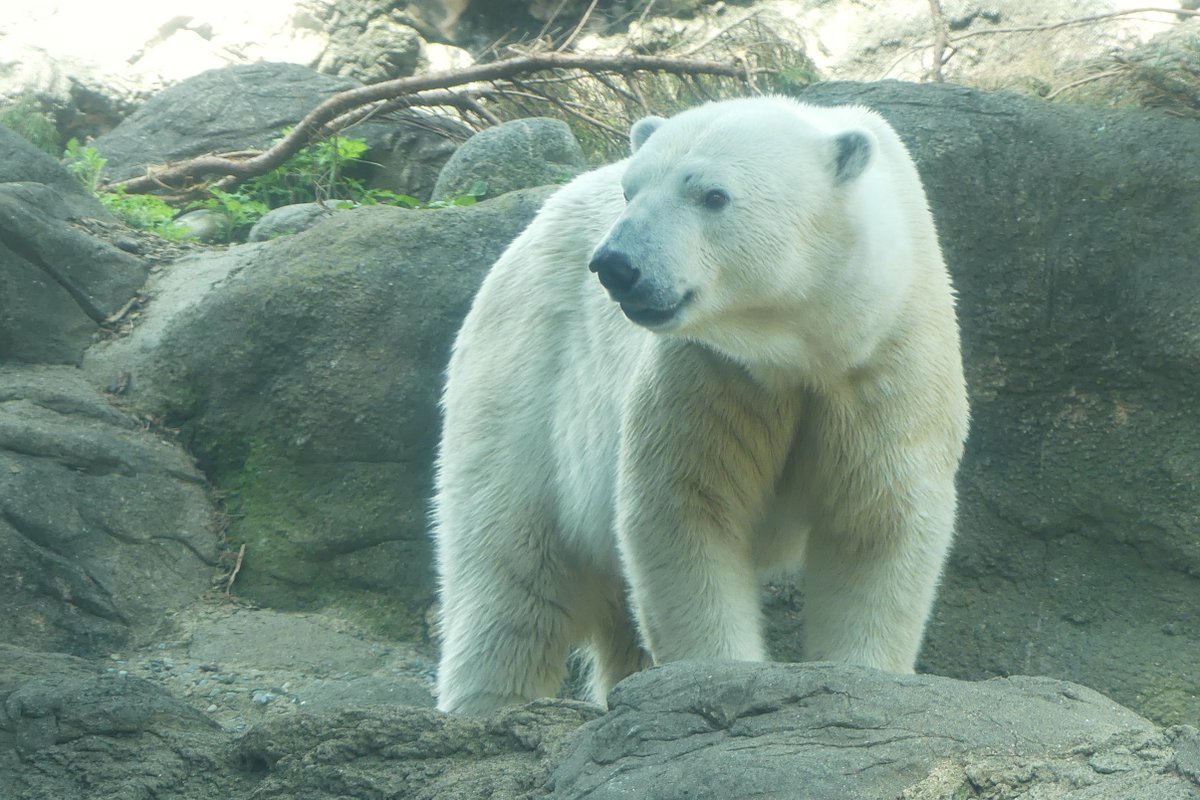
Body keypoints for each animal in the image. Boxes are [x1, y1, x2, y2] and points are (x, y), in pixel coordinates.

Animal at [432, 94, 964, 714]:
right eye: (630, 190)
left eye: (712, 194)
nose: (616, 265)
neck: (798, 348)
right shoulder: (707, 371)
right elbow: (685, 509)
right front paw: (716, 678)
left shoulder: (884, 363)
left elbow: (878, 518)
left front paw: (862, 677)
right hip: (526, 381)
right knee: (508, 565)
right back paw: (489, 706)